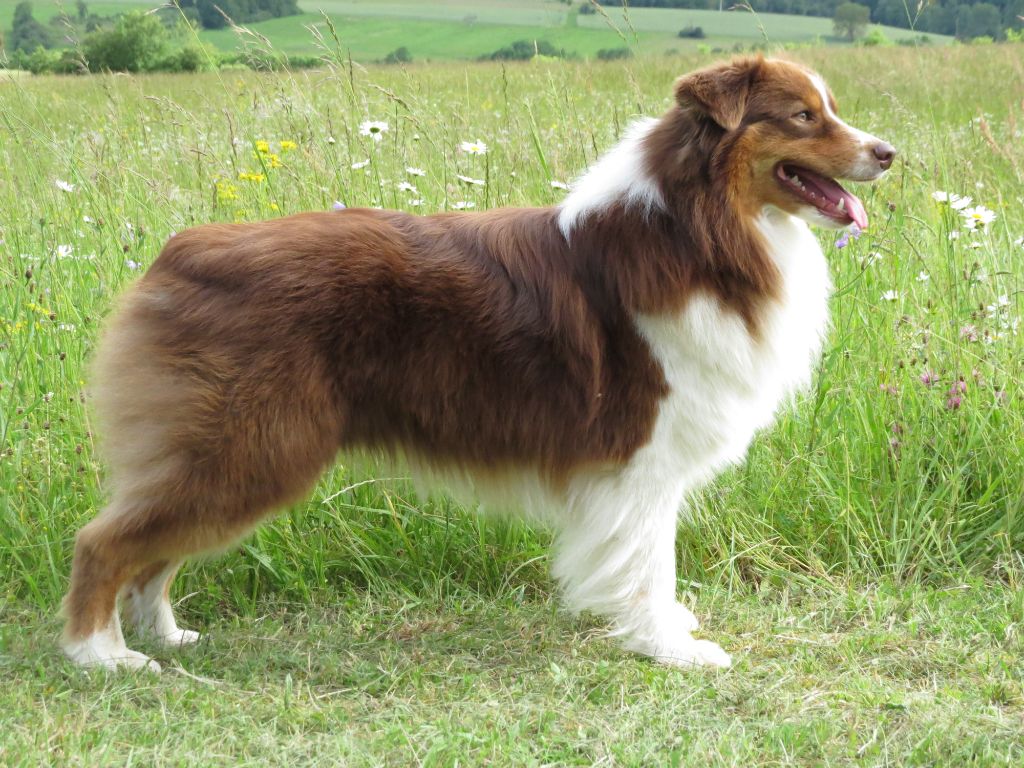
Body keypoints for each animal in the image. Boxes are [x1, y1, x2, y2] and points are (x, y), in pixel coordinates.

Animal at [61, 57, 897, 671]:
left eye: (829, 108)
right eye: (804, 117)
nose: (889, 152)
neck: (702, 227)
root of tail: (178, 252)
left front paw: (667, 635)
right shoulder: (642, 458)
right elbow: (648, 563)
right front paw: (672, 648)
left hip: (238, 452)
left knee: (153, 552)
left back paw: (165, 635)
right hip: (253, 446)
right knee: (105, 541)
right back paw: (103, 657)